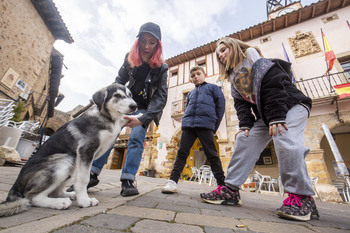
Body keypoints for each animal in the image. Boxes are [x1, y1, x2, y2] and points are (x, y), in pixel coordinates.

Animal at [0, 83, 137, 217]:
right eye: (117, 95)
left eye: (130, 95)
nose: (134, 106)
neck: (107, 117)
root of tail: (15, 186)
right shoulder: (86, 150)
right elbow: (83, 179)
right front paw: (84, 201)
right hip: (62, 163)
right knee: (31, 197)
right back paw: (59, 202)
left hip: (71, 164)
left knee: (53, 192)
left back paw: (68, 195)